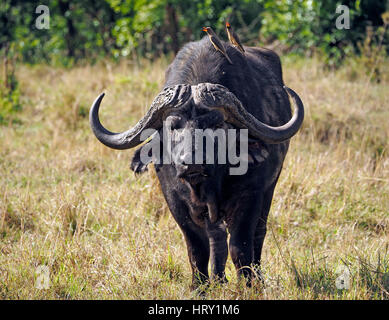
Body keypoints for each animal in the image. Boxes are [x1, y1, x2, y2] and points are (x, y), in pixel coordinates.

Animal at [90, 35, 304, 288]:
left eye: (216, 125)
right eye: (173, 126)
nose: (191, 163)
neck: (208, 184)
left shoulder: (250, 196)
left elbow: (240, 247)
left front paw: (249, 285)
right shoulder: (176, 202)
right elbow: (197, 250)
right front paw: (199, 287)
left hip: (269, 189)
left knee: (258, 234)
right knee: (217, 238)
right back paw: (219, 279)